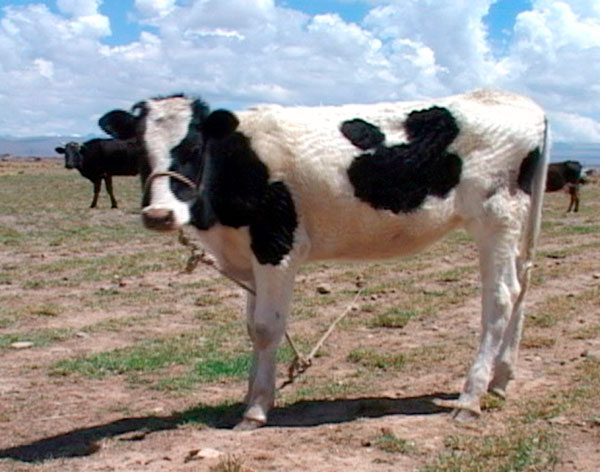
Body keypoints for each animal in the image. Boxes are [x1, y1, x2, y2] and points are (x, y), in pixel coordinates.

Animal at [99, 89, 549, 430]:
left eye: (193, 147)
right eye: (136, 149)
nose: (159, 215)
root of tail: (517, 100)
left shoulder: (276, 246)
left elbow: (266, 328)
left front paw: (255, 410)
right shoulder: (251, 256)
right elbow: (251, 328)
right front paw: (252, 395)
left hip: (496, 217)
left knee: (501, 298)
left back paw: (470, 398)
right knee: (522, 289)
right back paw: (500, 380)